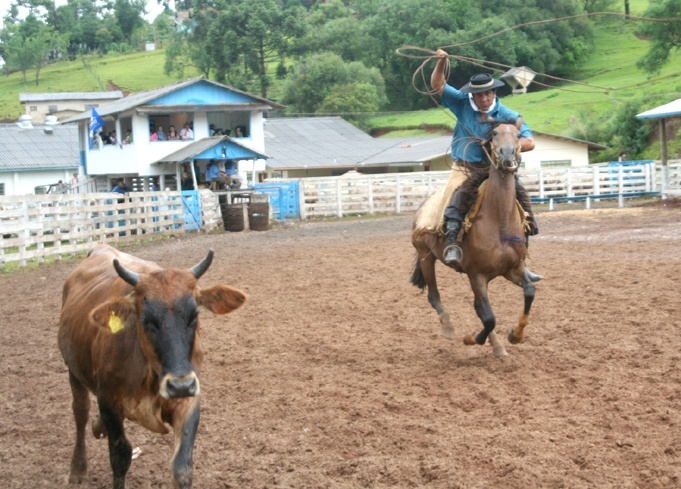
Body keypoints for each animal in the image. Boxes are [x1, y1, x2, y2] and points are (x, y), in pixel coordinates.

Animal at [57, 243, 244, 488]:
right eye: (146, 319)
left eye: (195, 314)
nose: (179, 386)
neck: (150, 374)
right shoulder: (108, 401)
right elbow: (120, 457)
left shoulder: (188, 399)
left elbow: (181, 468)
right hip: (73, 371)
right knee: (80, 413)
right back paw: (77, 469)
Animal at [410, 118, 540, 354]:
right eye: (495, 133)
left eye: (518, 135)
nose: (507, 155)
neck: (499, 221)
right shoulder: (477, 275)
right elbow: (488, 317)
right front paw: (471, 338)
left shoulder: (512, 268)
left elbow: (529, 291)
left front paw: (516, 334)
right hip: (426, 256)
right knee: (435, 296)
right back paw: (449, 327)